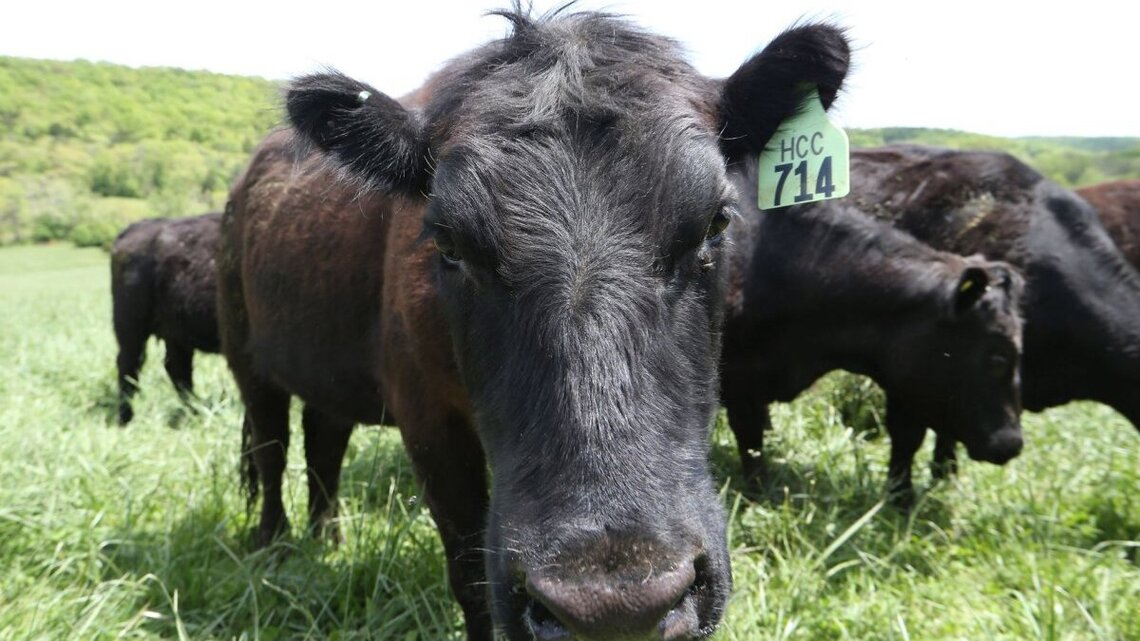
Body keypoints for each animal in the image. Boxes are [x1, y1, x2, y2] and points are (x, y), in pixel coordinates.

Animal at [110, 213, 221, 424]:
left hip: (177, 334)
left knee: (177, 369)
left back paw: (196, 410)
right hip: (131, 328)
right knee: (129, 366)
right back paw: (126, 418)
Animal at [218, 8, 850, 640]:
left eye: (717, 221)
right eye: (447, 242)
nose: (615, 608)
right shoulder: (426, 419)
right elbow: (469, 572)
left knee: (323, 441)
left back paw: (327, 538)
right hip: (245, 356)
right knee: (272, 448)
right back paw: (274, 546)